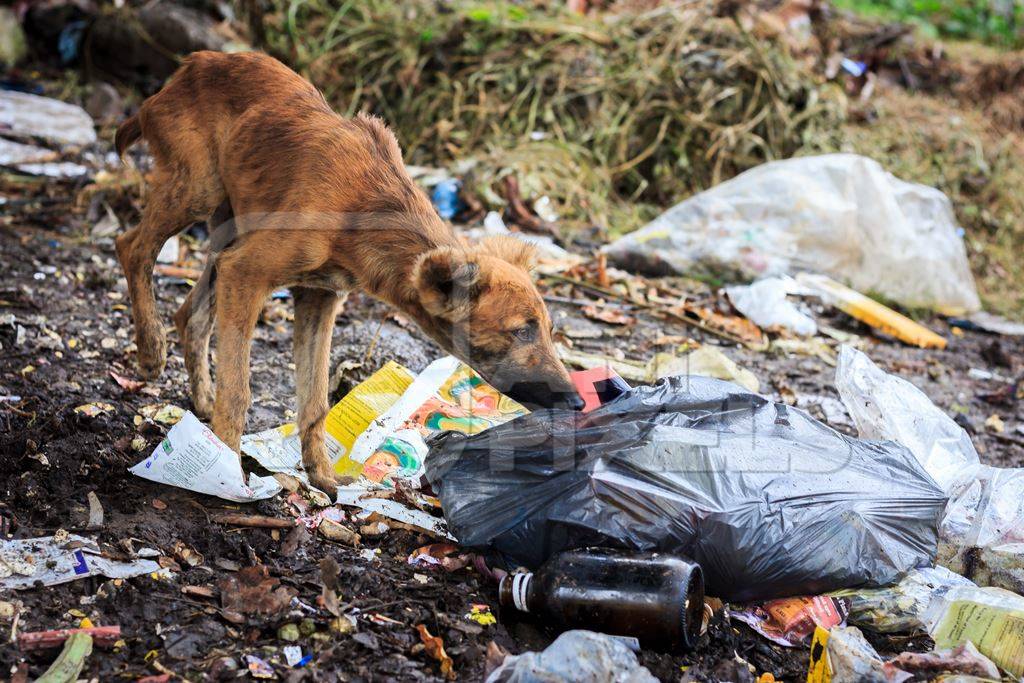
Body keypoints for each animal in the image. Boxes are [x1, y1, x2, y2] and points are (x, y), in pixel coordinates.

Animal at [115, 50, 581, 493]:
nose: (579, 402)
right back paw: (152, 350)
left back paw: (200, 401)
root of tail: (190, 65)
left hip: (227, 228)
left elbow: (316, 400)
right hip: (199, 190)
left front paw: (321, 476)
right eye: (521, 331)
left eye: (549, 330)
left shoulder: (318, 298)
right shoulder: (246, 273)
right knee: (131, 248)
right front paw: (226, 477)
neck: (364, 210)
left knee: (188, 313)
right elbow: (239, 391)